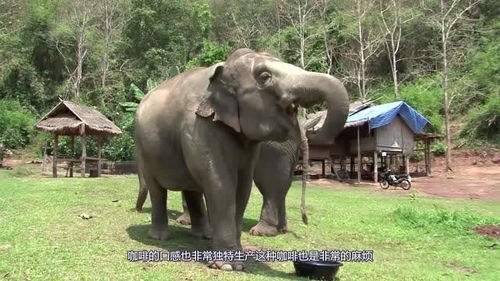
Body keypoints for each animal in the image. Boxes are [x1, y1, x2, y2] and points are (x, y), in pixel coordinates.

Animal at [135, 48, 350, 270]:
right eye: (264, 77)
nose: (306, 219)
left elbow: (242, 185)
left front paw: (235, 261)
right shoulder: (198, 126)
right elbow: (220, 182)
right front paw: (228, 266)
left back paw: (209, 235)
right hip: (144, 149)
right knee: (158, 189)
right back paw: (161, 237)